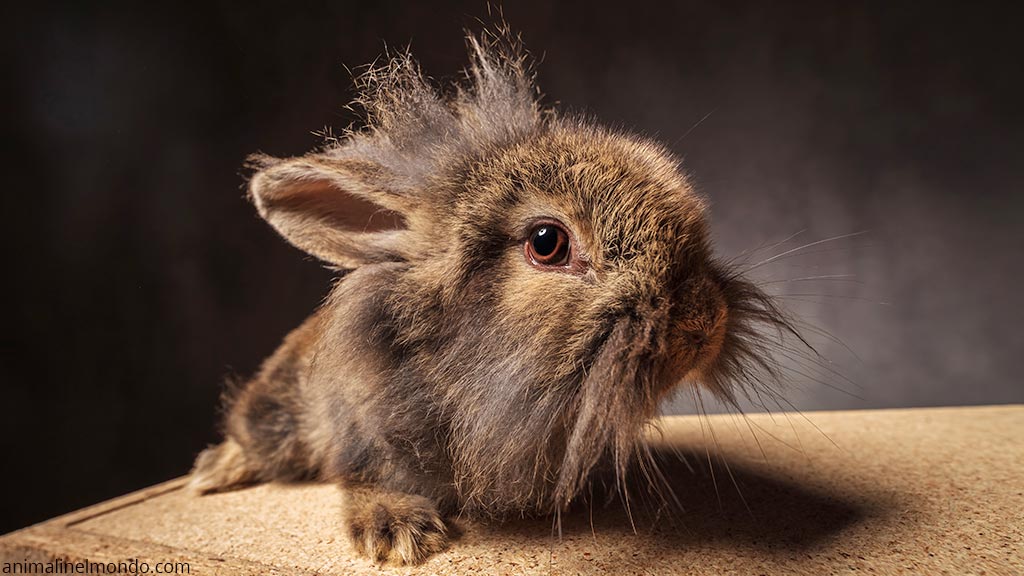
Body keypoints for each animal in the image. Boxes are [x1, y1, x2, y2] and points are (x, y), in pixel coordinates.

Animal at [189, 30, 799, 565]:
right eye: (548, 243)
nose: (703, 324)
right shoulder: (358, 436)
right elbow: (362, 479)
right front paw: (399, 535)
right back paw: (211, 473)